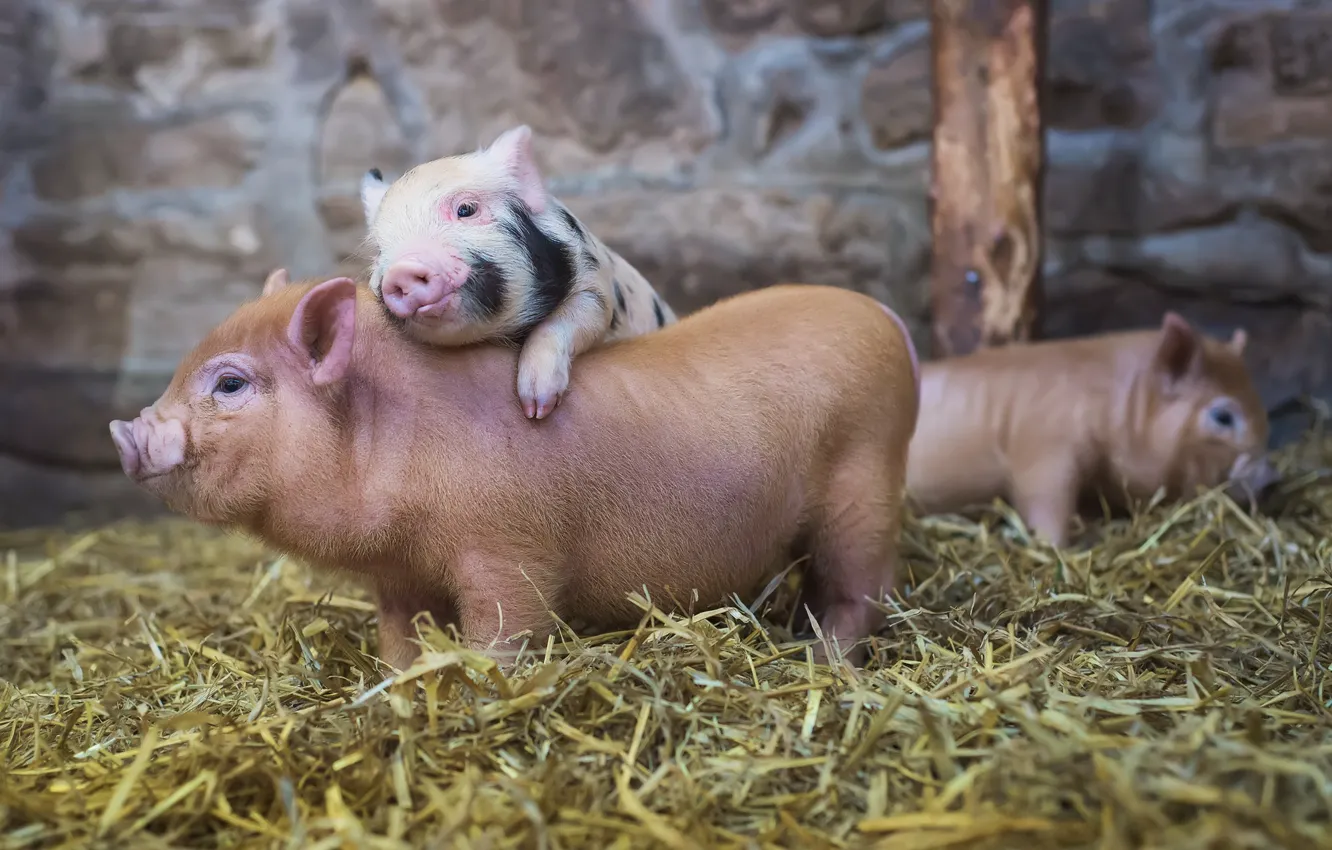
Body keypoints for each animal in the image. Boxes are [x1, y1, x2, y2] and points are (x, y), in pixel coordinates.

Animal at [109, 275, 921, 670]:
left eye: (230, 383)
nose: (126, 431)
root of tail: (886, 319)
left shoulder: (509, 551)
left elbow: (506, 631)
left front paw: (481, 684)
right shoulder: (399, 575)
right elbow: (400, 639)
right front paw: (401, 684)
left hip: (866, 482)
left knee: (862, 591)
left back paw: (822, 662)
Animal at [358, 125, 677, 421]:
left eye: (466, 209)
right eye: (379, 251)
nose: (402, 270)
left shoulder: (596, 284)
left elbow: (576, 318)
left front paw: (536, 410)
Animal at [905, 312, 1277, 548]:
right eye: (1223, 416)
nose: (1273, 479)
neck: (1119, 408)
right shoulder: (1045, 451)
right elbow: (1045, 504)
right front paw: (1065, 546)